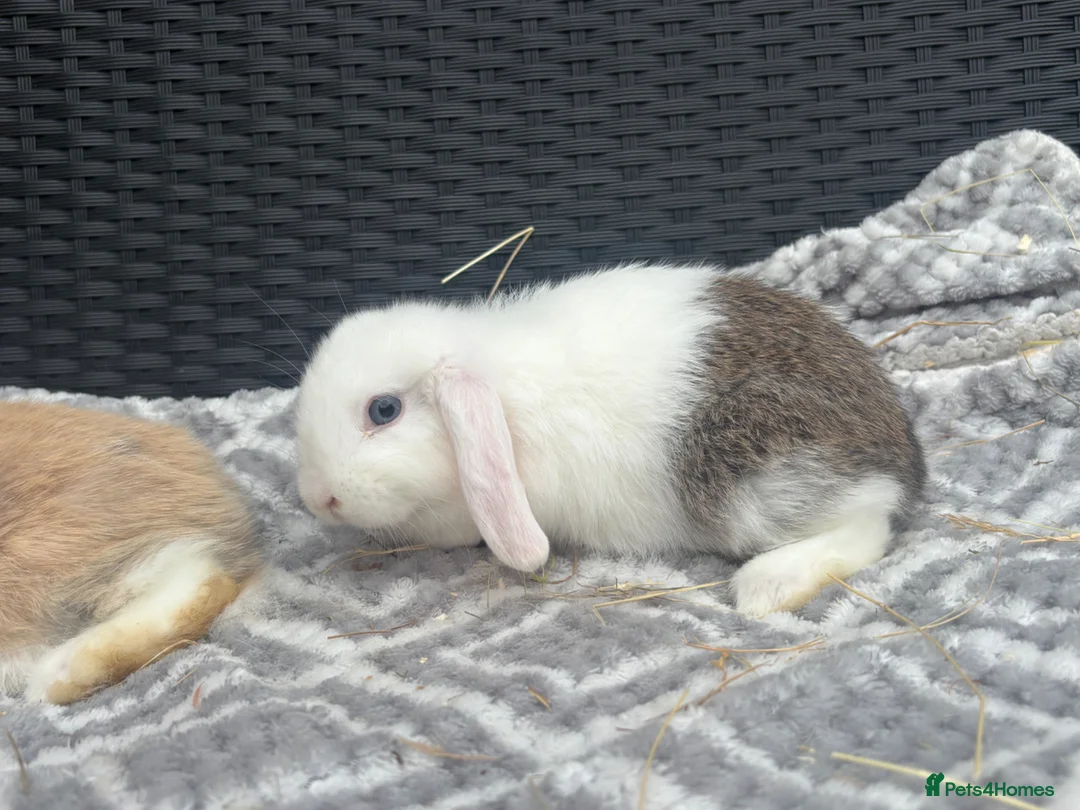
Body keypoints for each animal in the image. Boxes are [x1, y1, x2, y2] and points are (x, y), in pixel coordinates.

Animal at [293, 263, 926, 617]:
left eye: (384, 410)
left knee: (869, 527)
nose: (317, 499)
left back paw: (766, 587)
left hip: (753, 482)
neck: (498, 392)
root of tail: (904, 459)